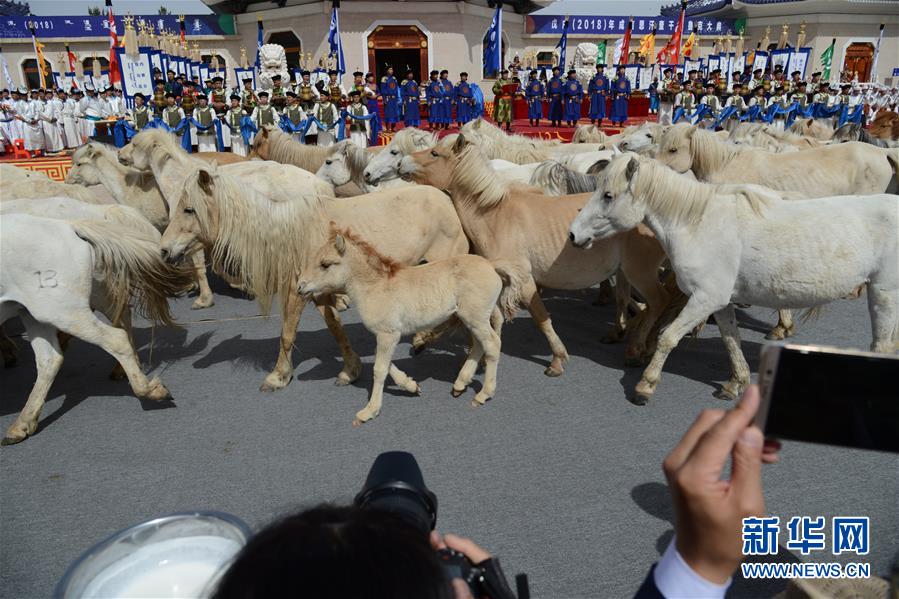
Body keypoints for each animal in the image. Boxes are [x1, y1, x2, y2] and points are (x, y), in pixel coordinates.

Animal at [572, 155, 896, 408]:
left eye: (608, 195)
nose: (574, 234)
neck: (697, 223)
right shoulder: (720, 302)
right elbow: (731, 341)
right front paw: (735, 383)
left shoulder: (705, 299)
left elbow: (668, 337)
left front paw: (645, 386)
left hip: (883, 293)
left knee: (881, 345)